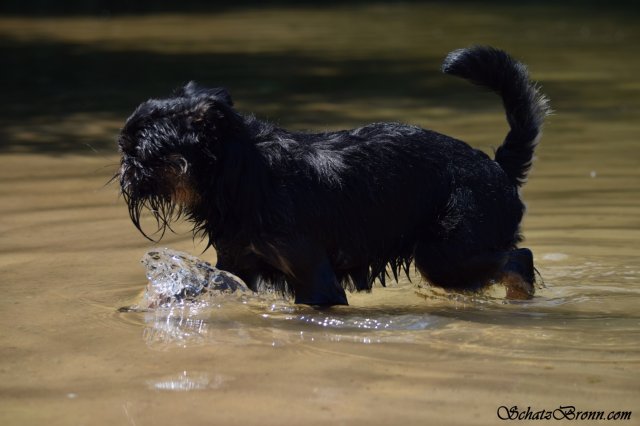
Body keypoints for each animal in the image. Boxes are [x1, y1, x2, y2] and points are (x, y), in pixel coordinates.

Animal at [119, 46, 552, 306]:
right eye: (128, 150)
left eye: (142, 154)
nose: (124, 165)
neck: (246, 178)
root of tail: (497, 165)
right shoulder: (236, 267)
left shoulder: (315, 278)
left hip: (447, 252)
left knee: (519, 258)